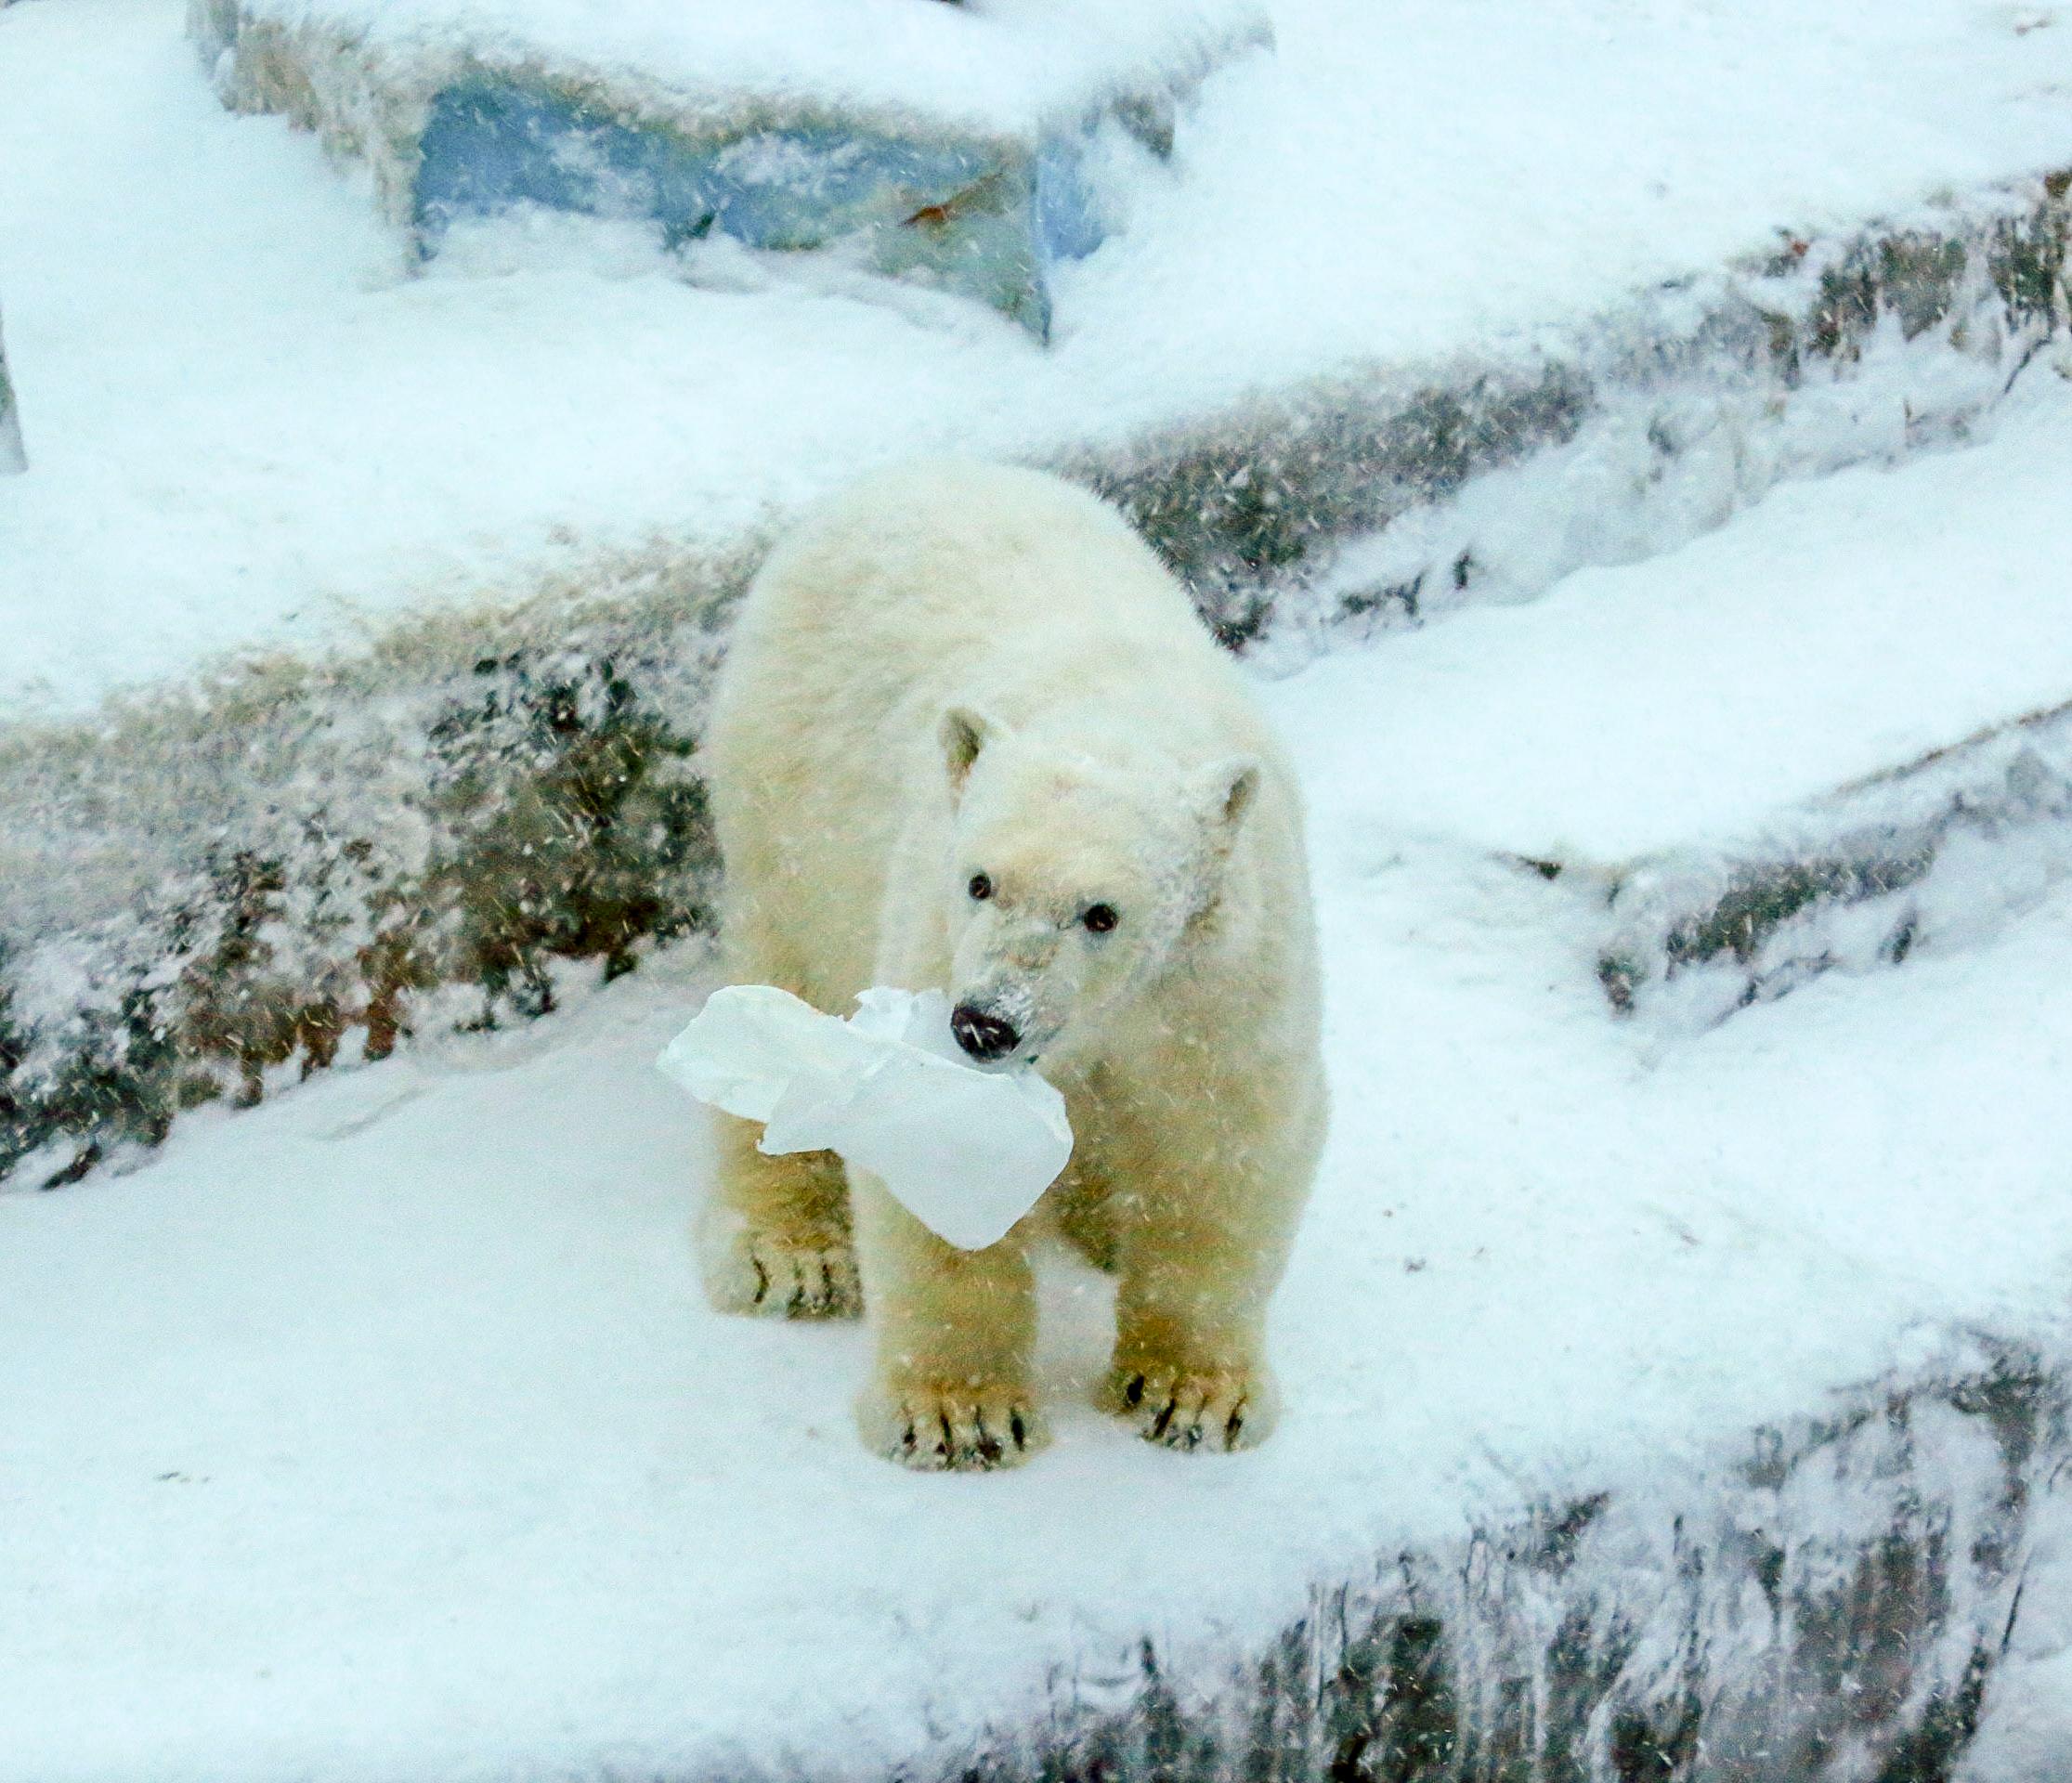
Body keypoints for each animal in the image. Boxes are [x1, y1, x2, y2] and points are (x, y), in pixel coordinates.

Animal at [700, 462, 1325, 1474]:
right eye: (980, 881)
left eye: (1101, 914)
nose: (985, 1023)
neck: (1110, 721)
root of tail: (908, 471)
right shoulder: (930, 931)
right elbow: (937, 1136)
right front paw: (959, 1416)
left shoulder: (1222, 976)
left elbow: (1221, 1142)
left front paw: (1191, 1396)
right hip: (786, 807)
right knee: (782, 993)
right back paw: (791, 1254)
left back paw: (1103, 1223)